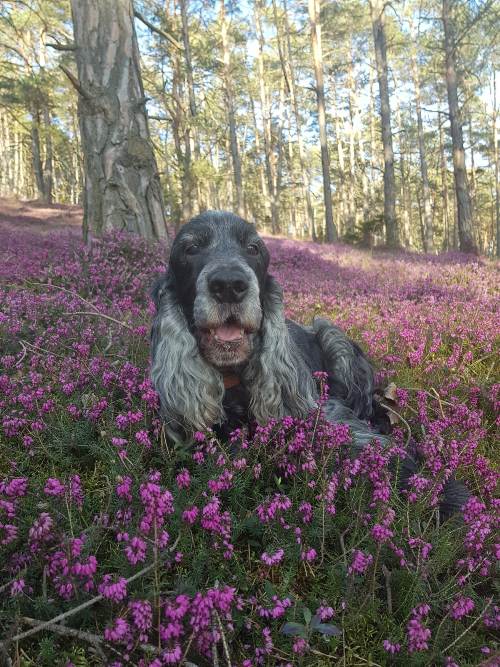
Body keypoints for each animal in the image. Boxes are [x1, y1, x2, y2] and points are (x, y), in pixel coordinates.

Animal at [150, 211, 468, 516]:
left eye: (253, 248)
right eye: (190, 248)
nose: (229, 285)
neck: (233, 376)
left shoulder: (322, 410)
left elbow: (364, 444)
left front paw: (442, 496)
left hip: (332, 336)